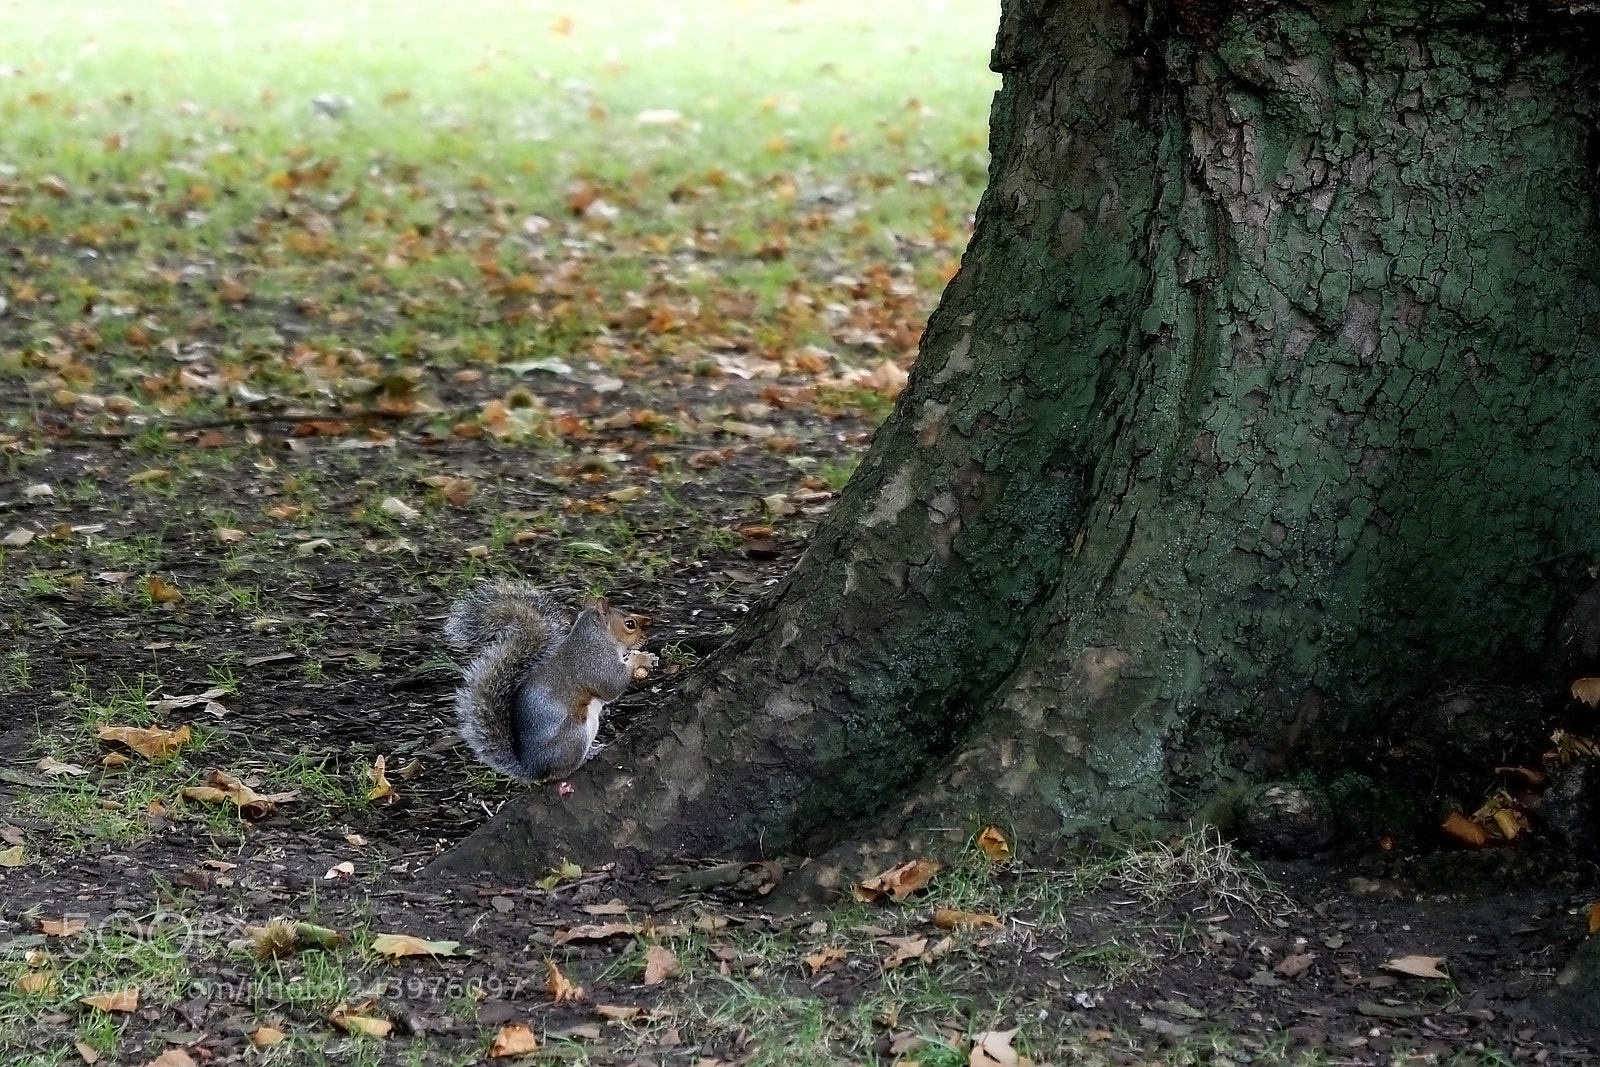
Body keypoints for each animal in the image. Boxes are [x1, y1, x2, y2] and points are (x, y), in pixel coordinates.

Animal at [444, 581, 656, 782]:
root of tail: (533, 769)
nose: (646, 637)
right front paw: (640, 658)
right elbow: (612, 685)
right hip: (576, 735)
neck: (596, 637)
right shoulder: (596, 664)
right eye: (630, 624)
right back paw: (588, 755)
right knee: (561, 772)